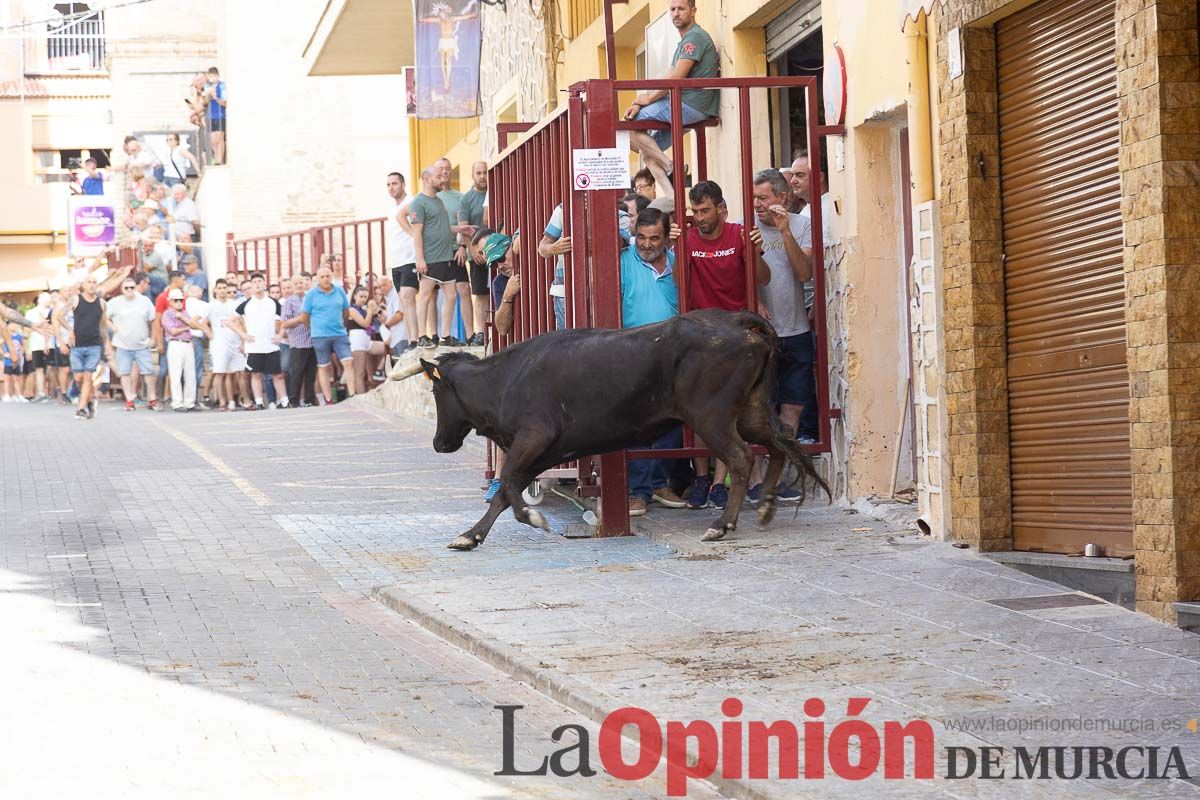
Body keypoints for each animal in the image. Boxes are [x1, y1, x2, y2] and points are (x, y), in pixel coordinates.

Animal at [388, 309, 830, 551]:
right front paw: (471, 536)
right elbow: (504, 490)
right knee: (779, 445)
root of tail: (735, 320)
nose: (439, 443)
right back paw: (768, 504)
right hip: (749, 412)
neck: (503, 380)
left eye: (437, 389)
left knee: (741, 458)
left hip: (712, 417)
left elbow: (507, 481)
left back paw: (721, 525)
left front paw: (533, 519)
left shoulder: (534, 438)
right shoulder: (544, 451)